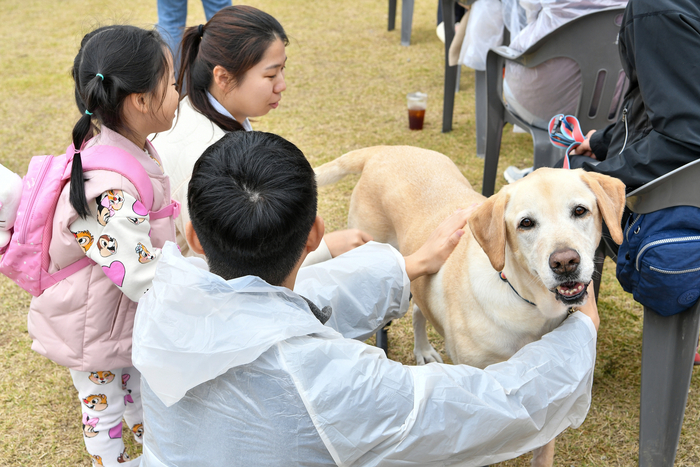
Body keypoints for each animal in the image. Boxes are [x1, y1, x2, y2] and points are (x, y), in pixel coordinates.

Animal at [314, 147, 628, 467]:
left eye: (580, 211)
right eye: (526, 223)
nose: (565, 262)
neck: (530, 306)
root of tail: (386, 149)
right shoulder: (479, 398)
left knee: (418, 309)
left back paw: (423, 349)